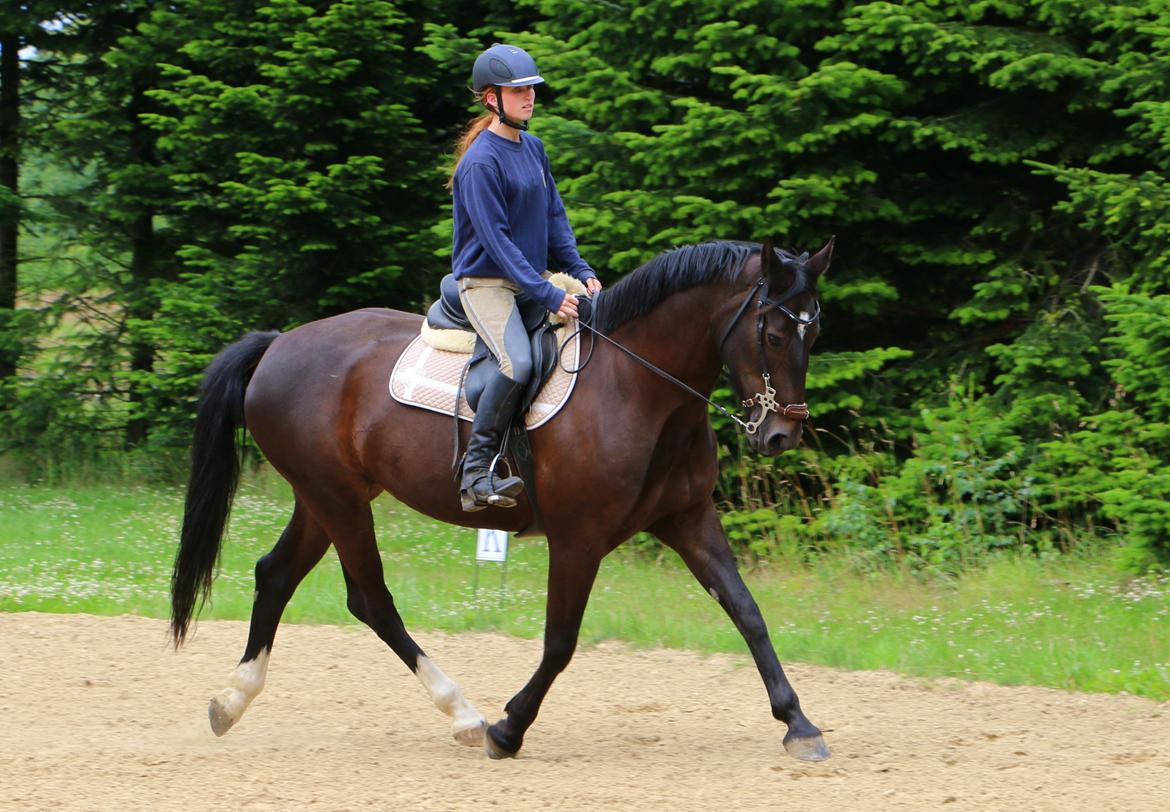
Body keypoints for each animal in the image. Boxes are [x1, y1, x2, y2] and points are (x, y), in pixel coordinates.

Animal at [170, 235, 833, 762]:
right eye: (776, 333)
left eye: (815, 332)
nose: (782, 435)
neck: (637, 387)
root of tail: (279, 344)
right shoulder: (578, 539)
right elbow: (560, 642)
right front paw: (508, 729)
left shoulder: (689, 520)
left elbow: (747, 612)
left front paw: (798, 723)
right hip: (338, 501)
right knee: (371, 601)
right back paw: (464, 714)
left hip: (325, 498)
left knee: (276, 575)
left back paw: (230, 702)